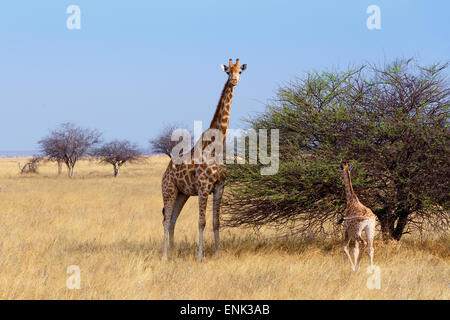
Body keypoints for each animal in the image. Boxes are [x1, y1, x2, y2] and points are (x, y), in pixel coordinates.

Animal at [161, 58, 246, 262]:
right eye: (227, 71)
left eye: (240, 71)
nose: (234, 80)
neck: (216, 146)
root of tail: (164, 174)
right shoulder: (203, 187)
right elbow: (202, 222)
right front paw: (200, 256)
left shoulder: (219, 187)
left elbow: (216, 222)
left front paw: (218, 253)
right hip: (169, 191)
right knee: (166, 221)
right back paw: (165, 256)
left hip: (181, 194)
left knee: (173, 220)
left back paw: (173, 253)